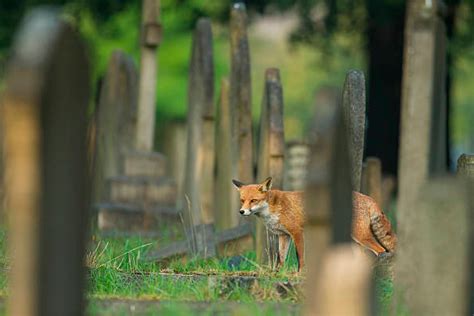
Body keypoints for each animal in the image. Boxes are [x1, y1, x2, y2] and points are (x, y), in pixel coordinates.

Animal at [232, 178, 396, 272]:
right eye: (242, 200)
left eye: (253, 200)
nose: (241, 211)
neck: (272, 208)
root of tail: (368, 197)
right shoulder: (283, 236)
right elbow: (281, 258)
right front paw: (277, 274)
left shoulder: (297, 233)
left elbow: (300, 257)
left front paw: (299, 274)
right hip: (355, 240)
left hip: (361, 236)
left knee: (381, 251)